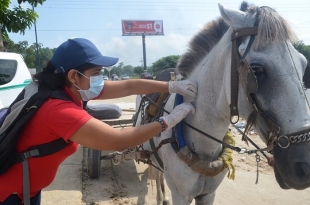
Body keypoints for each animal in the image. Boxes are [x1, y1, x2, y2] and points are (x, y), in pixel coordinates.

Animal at [134, 2, 310, 205]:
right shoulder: (181, 195)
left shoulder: (208, 194)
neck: (203, 144)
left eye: (304, 65)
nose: (306, 164)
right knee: (158, 175)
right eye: (256, 69)